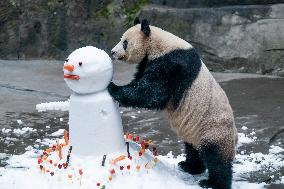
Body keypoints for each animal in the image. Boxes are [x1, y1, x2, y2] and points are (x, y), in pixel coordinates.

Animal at [107, 18, 236, 189]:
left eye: (125, 42)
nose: (113, 52)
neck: (160, 44)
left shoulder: (173, 64)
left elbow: (152, 92)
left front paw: (113, 88)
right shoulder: (149, 62)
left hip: (213, 129)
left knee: (216, 158)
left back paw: (212, 183)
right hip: (194, 129)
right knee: (192, 149)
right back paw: (189, 166)